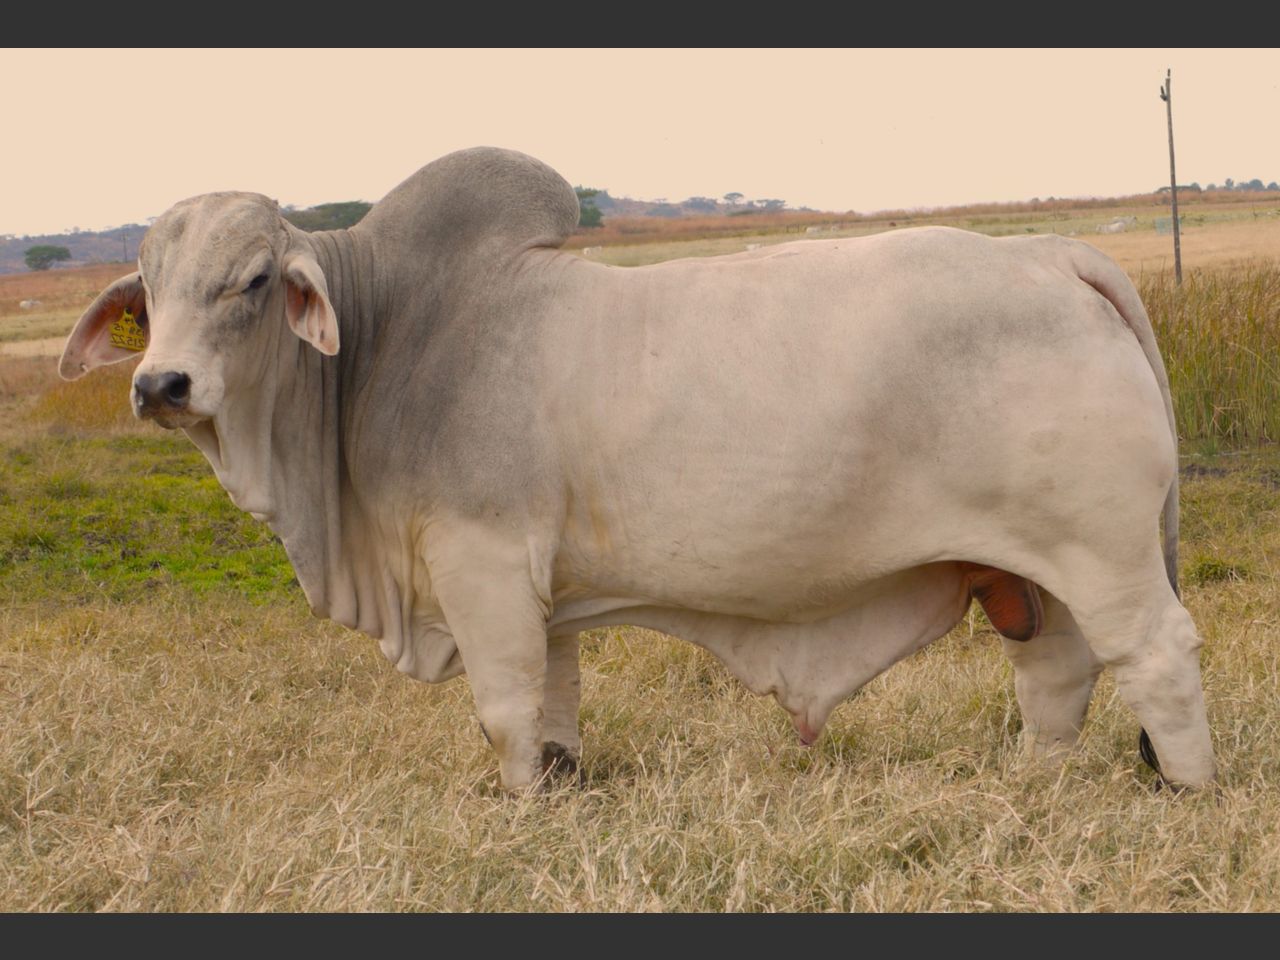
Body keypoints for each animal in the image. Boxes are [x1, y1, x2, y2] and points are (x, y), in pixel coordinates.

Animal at [59, 147, 1215, 792]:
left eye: (254, 279)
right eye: (147, 288)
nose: (161, 384)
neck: (392, 339)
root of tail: (1052, 254)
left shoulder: (479, 566)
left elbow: (505, 709)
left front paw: (521, 806)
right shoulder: (537, 592)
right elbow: (554, 706)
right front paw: (562, 790)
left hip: (1104, 555)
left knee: (1154, 658)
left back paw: (1186, 793)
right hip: (1031, 568)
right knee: (1056, 673)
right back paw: (1034, 788)